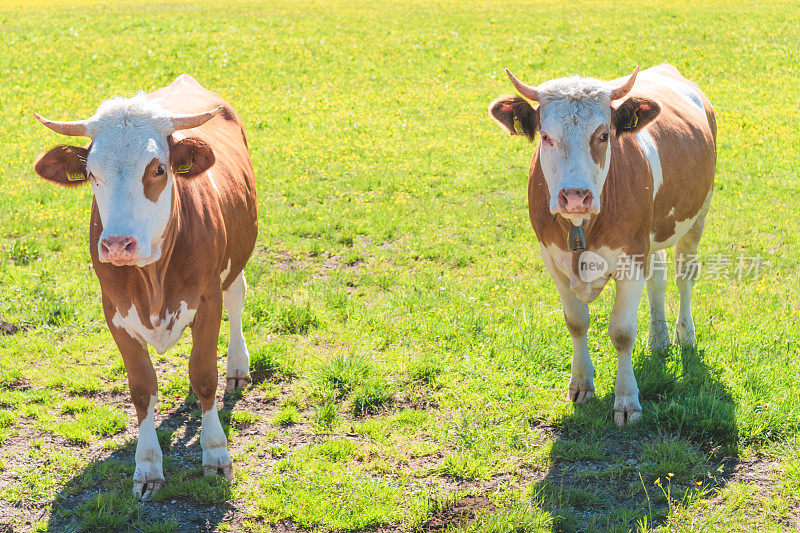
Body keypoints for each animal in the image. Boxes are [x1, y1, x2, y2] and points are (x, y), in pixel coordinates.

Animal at [490, 62, 716, 426]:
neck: (582, 227)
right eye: (545, 136)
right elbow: (576, 322)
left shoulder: (631, 259)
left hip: (696, 218)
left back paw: (685, 335)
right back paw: (659, 339)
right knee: (658, 279)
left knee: (685, 278)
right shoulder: (553, 260)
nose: (574, 196)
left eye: (604, 135)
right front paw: (581, 384)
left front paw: (627, 400)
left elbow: (622, 332)